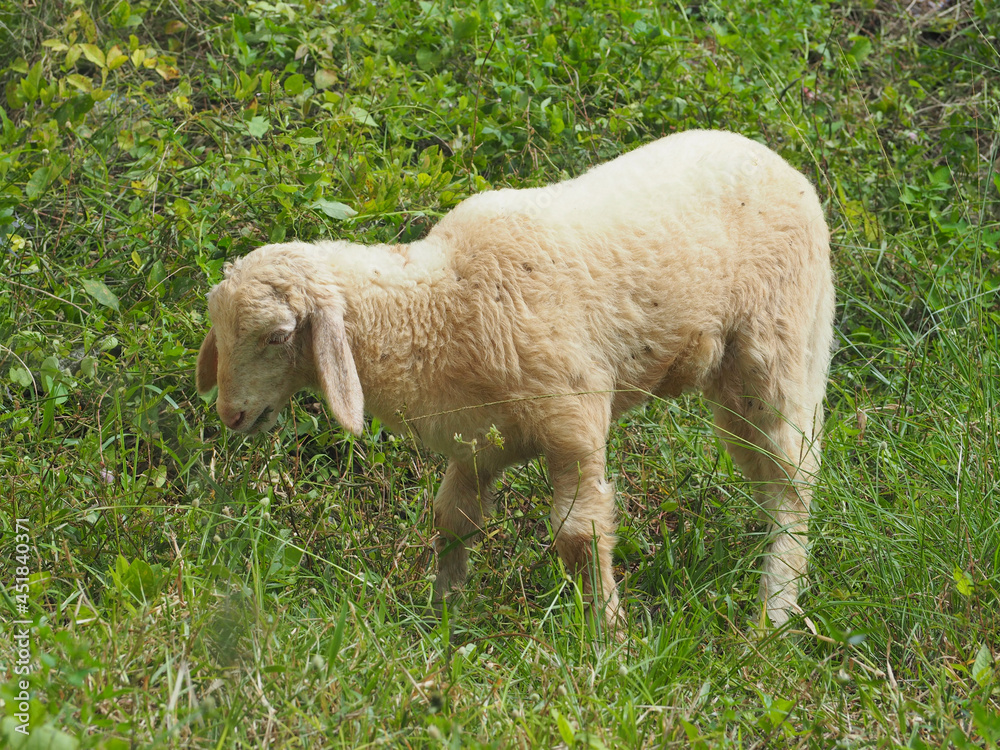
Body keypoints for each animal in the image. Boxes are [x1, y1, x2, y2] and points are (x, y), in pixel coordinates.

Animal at [196, 129, 835, 633]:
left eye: (278, 336)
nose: (230, 415)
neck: (433, 309)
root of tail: (784, 166)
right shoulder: (479, 442)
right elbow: (452, 519)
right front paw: (443, 612)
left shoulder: (574, 418)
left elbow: (580, 534)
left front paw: (608, 637)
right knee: (772, 473)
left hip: (774, 347)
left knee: (794, 479)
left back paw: (773, 613)